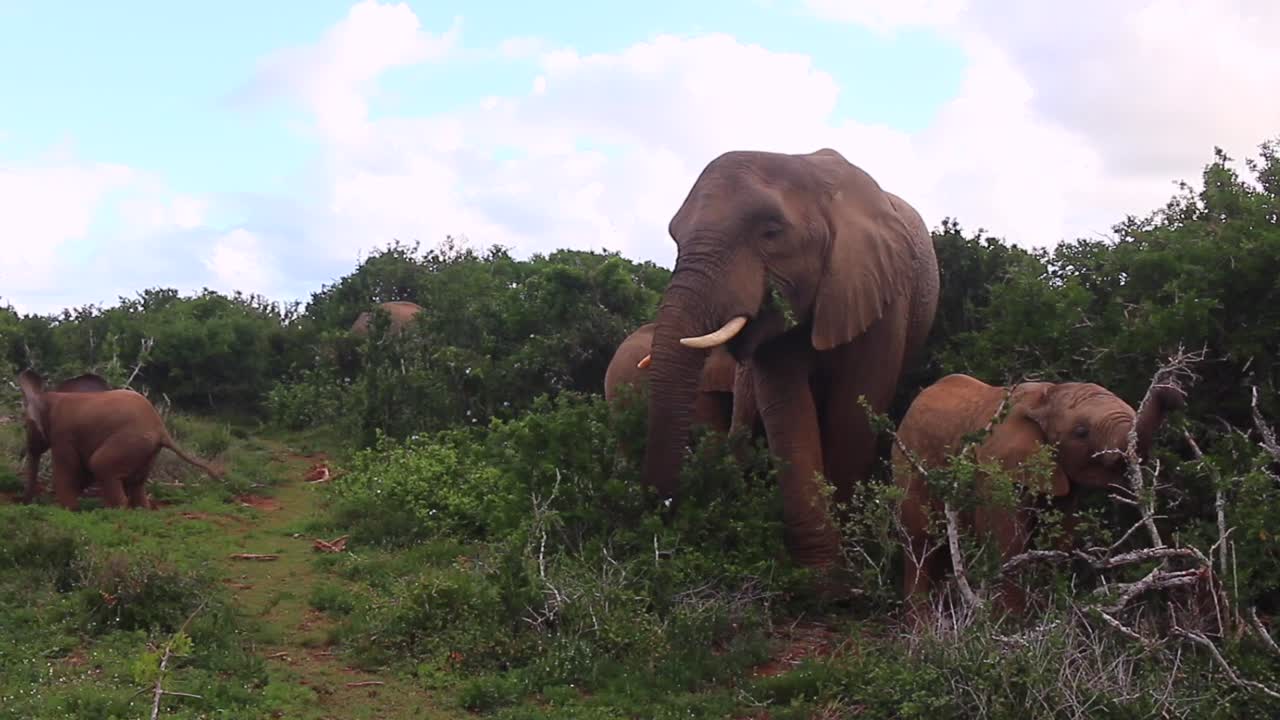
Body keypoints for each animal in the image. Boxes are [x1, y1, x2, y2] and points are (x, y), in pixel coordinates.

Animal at [640, 147, 940, 572]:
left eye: (771, 232)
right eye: (675, 237)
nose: (664, 511)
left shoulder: (883, 293)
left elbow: (855, 408)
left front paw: (841, 570)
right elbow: (787, 407)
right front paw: (820, 573)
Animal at [892, 373, 1186, 616]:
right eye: (1081, 432)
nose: (1172, 390)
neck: (1045, 398)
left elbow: (1058, 542)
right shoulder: (995, 467)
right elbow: (1005, 540)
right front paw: (1011, 623)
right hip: (908, 466)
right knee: (920, 544)